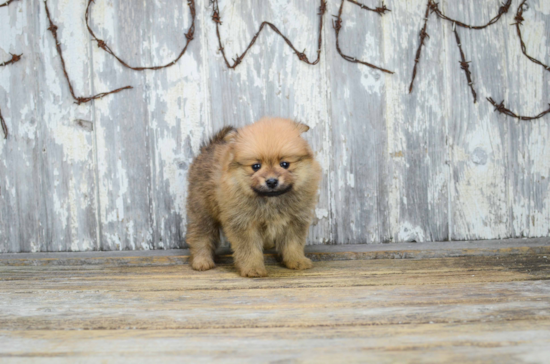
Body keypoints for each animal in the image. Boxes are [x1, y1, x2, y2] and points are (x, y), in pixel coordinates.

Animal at [188, 118, 322, 278]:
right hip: (202, 211)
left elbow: (293, 244)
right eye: (256, 166)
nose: (271, 181)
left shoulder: (295, 220)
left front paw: (297, 261)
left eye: (285, 164)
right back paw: (201, 261)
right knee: (201, 236)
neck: (271, 199)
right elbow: (249, 249)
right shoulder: (244, 223)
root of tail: (210, 146)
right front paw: (252, 268)